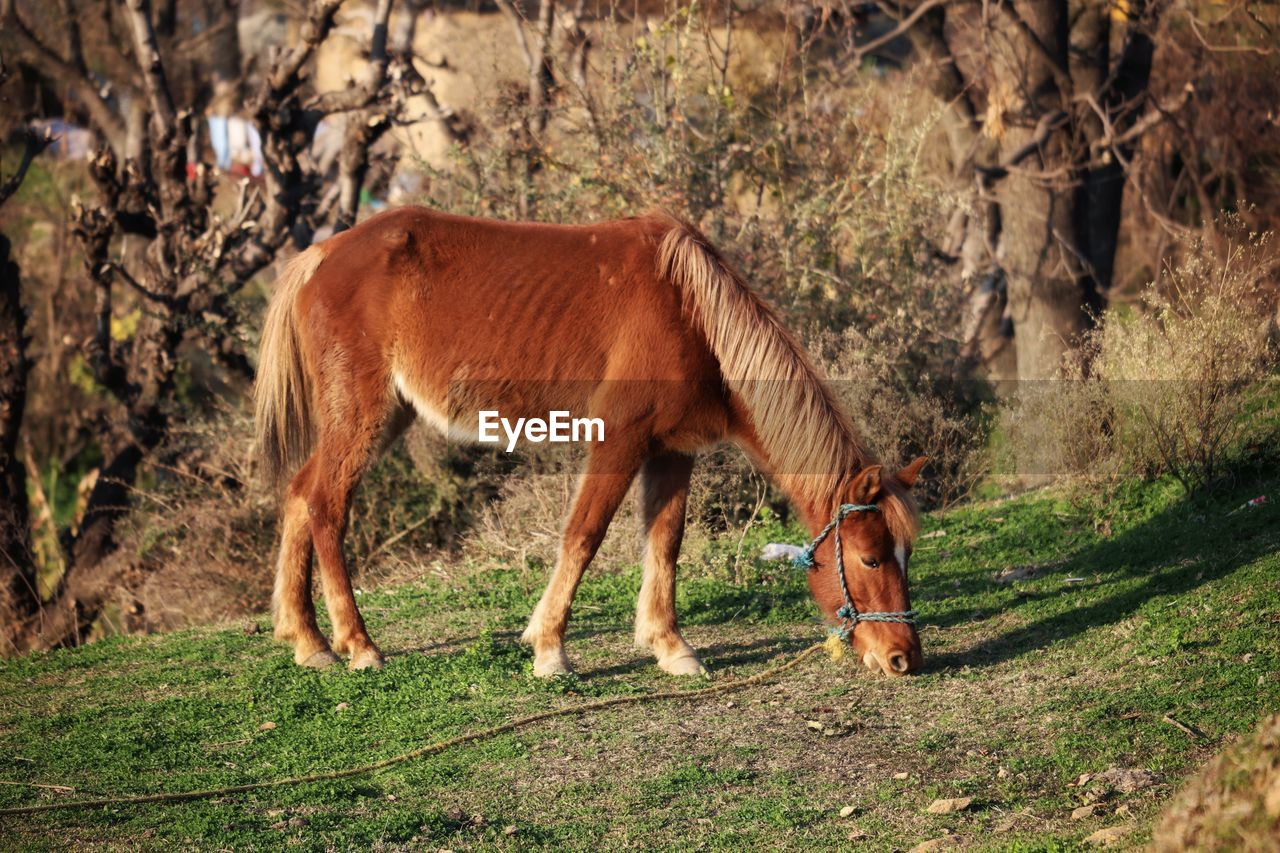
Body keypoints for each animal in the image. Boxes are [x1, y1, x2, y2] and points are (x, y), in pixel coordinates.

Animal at [254, 204, 926, 671]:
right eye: (869, 557)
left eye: (905, 554)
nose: (904, 657)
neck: (688, 311)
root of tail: (322, 254)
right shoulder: (619, 442)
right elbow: (583, 536)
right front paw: (550, 649)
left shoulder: (673, 451)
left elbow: (665, 544)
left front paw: (670, 647)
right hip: (361, 417)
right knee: (325, 504)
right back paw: (358, 645)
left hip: (384, 415)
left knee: (298, 494)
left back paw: (308, 642)